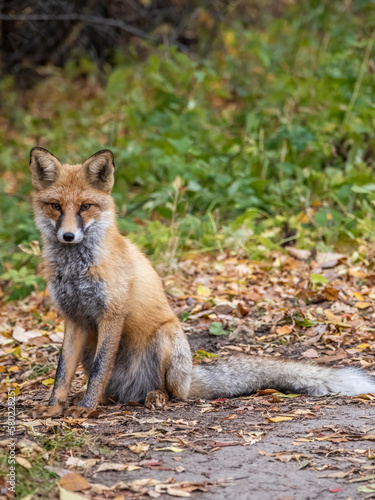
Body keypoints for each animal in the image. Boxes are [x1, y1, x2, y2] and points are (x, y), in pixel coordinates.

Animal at [29, 146, 375, 414]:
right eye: (56, 206)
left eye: (85, 207)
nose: (68, 236)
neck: (76, 269)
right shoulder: (75, 318)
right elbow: (62, 372)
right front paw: (55, 407)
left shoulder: (111, 315)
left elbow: (100, 370)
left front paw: (87, 410)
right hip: (94, 349)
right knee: (115, 391)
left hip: (166, 339)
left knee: (171, 394)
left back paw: (153, 397)